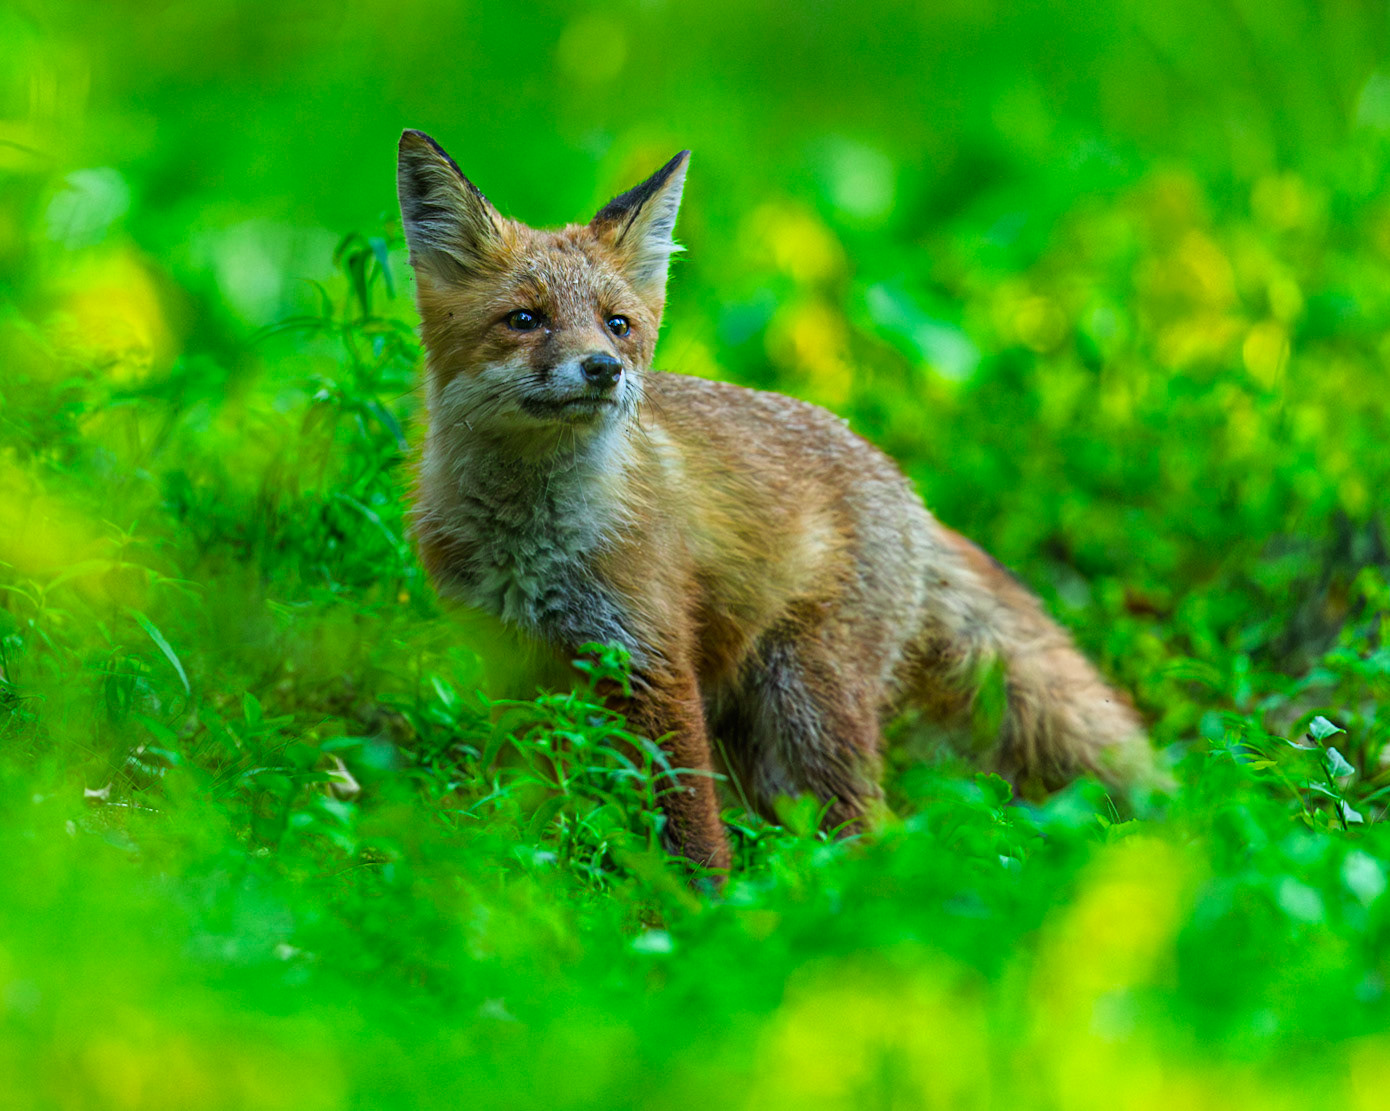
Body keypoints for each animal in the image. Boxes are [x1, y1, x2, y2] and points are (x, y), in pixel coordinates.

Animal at [396, 129, 1153, 874]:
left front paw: (698, 902)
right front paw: (513, 864)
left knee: (866, 827)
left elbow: (687, 819)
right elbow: (522, 792)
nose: (603, 369)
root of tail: (903, 484)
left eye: (618, 325)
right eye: (525, 319)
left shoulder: (652, 657)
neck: (527, 539)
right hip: (756, 731)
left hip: (805, 708)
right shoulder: (511, 664)